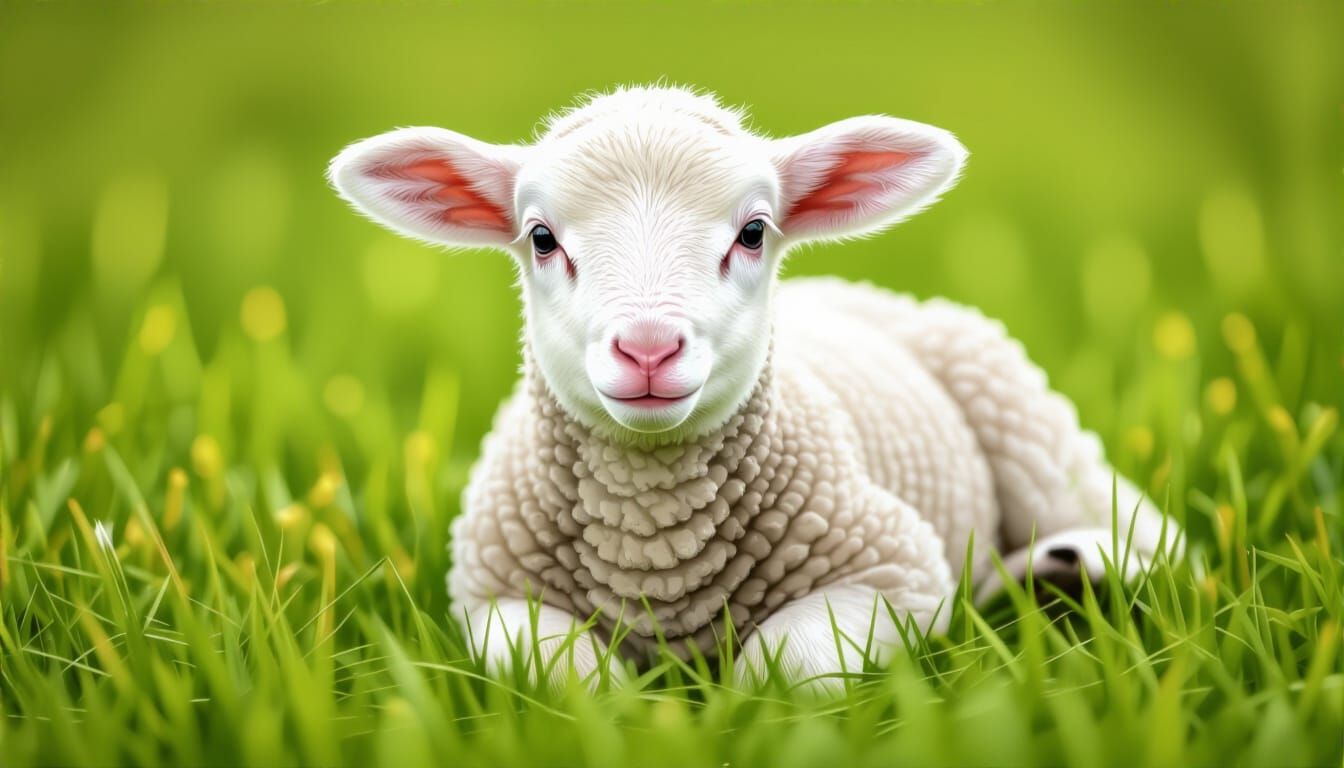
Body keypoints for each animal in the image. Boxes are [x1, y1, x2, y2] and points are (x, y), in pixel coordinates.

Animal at [327, 85, 1180, 687]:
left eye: (753, 232)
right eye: (540, 238)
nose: (648, 349)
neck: (655, 546)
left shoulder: (894, 567)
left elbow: (786, 664)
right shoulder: (490, 596)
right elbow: (562, 672)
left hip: (1028, 423)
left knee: (1147, 529)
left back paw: (1084, 565)